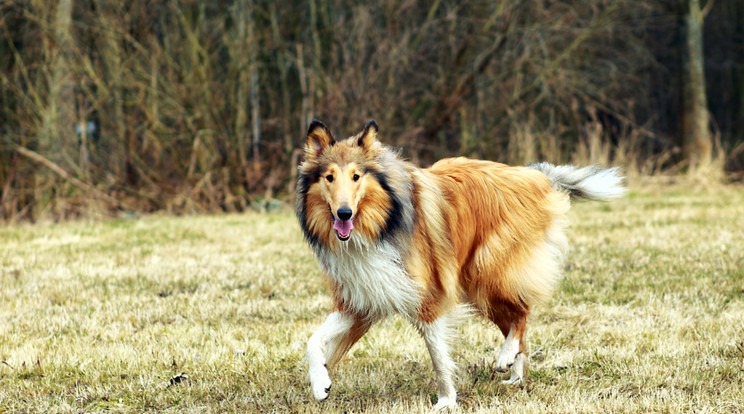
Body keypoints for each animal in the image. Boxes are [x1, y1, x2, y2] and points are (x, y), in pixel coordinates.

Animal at [294, 119, 624, 408]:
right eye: (329, 177)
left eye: (356, 176)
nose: (344, 213)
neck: (381, 224)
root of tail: (533, 175)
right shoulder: (362, 297)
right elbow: (313, 340)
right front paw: (320, 384)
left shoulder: (428, 298)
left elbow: (439, 357)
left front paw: (446, 401)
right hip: (477, 287)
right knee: (515, 324)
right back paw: (515, 375)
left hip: (488, 271)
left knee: (523, 312)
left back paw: (505, 357)